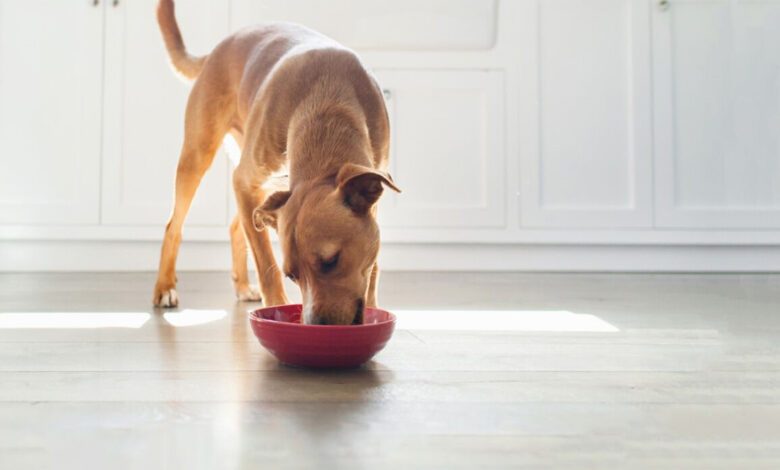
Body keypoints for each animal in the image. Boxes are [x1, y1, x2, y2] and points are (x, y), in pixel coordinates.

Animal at [152, 0, 400, 324]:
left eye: (331, 261)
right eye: (292, 276)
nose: (316, 326)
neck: (327, 105)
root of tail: (216, 51)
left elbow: (373, 267)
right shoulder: (245, 183)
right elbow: (266, 264)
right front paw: (275, 309)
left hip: (263, 189)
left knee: (236, 227)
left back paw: (242, 286)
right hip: (199, 154)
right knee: (174, 226)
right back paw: (165, 287)